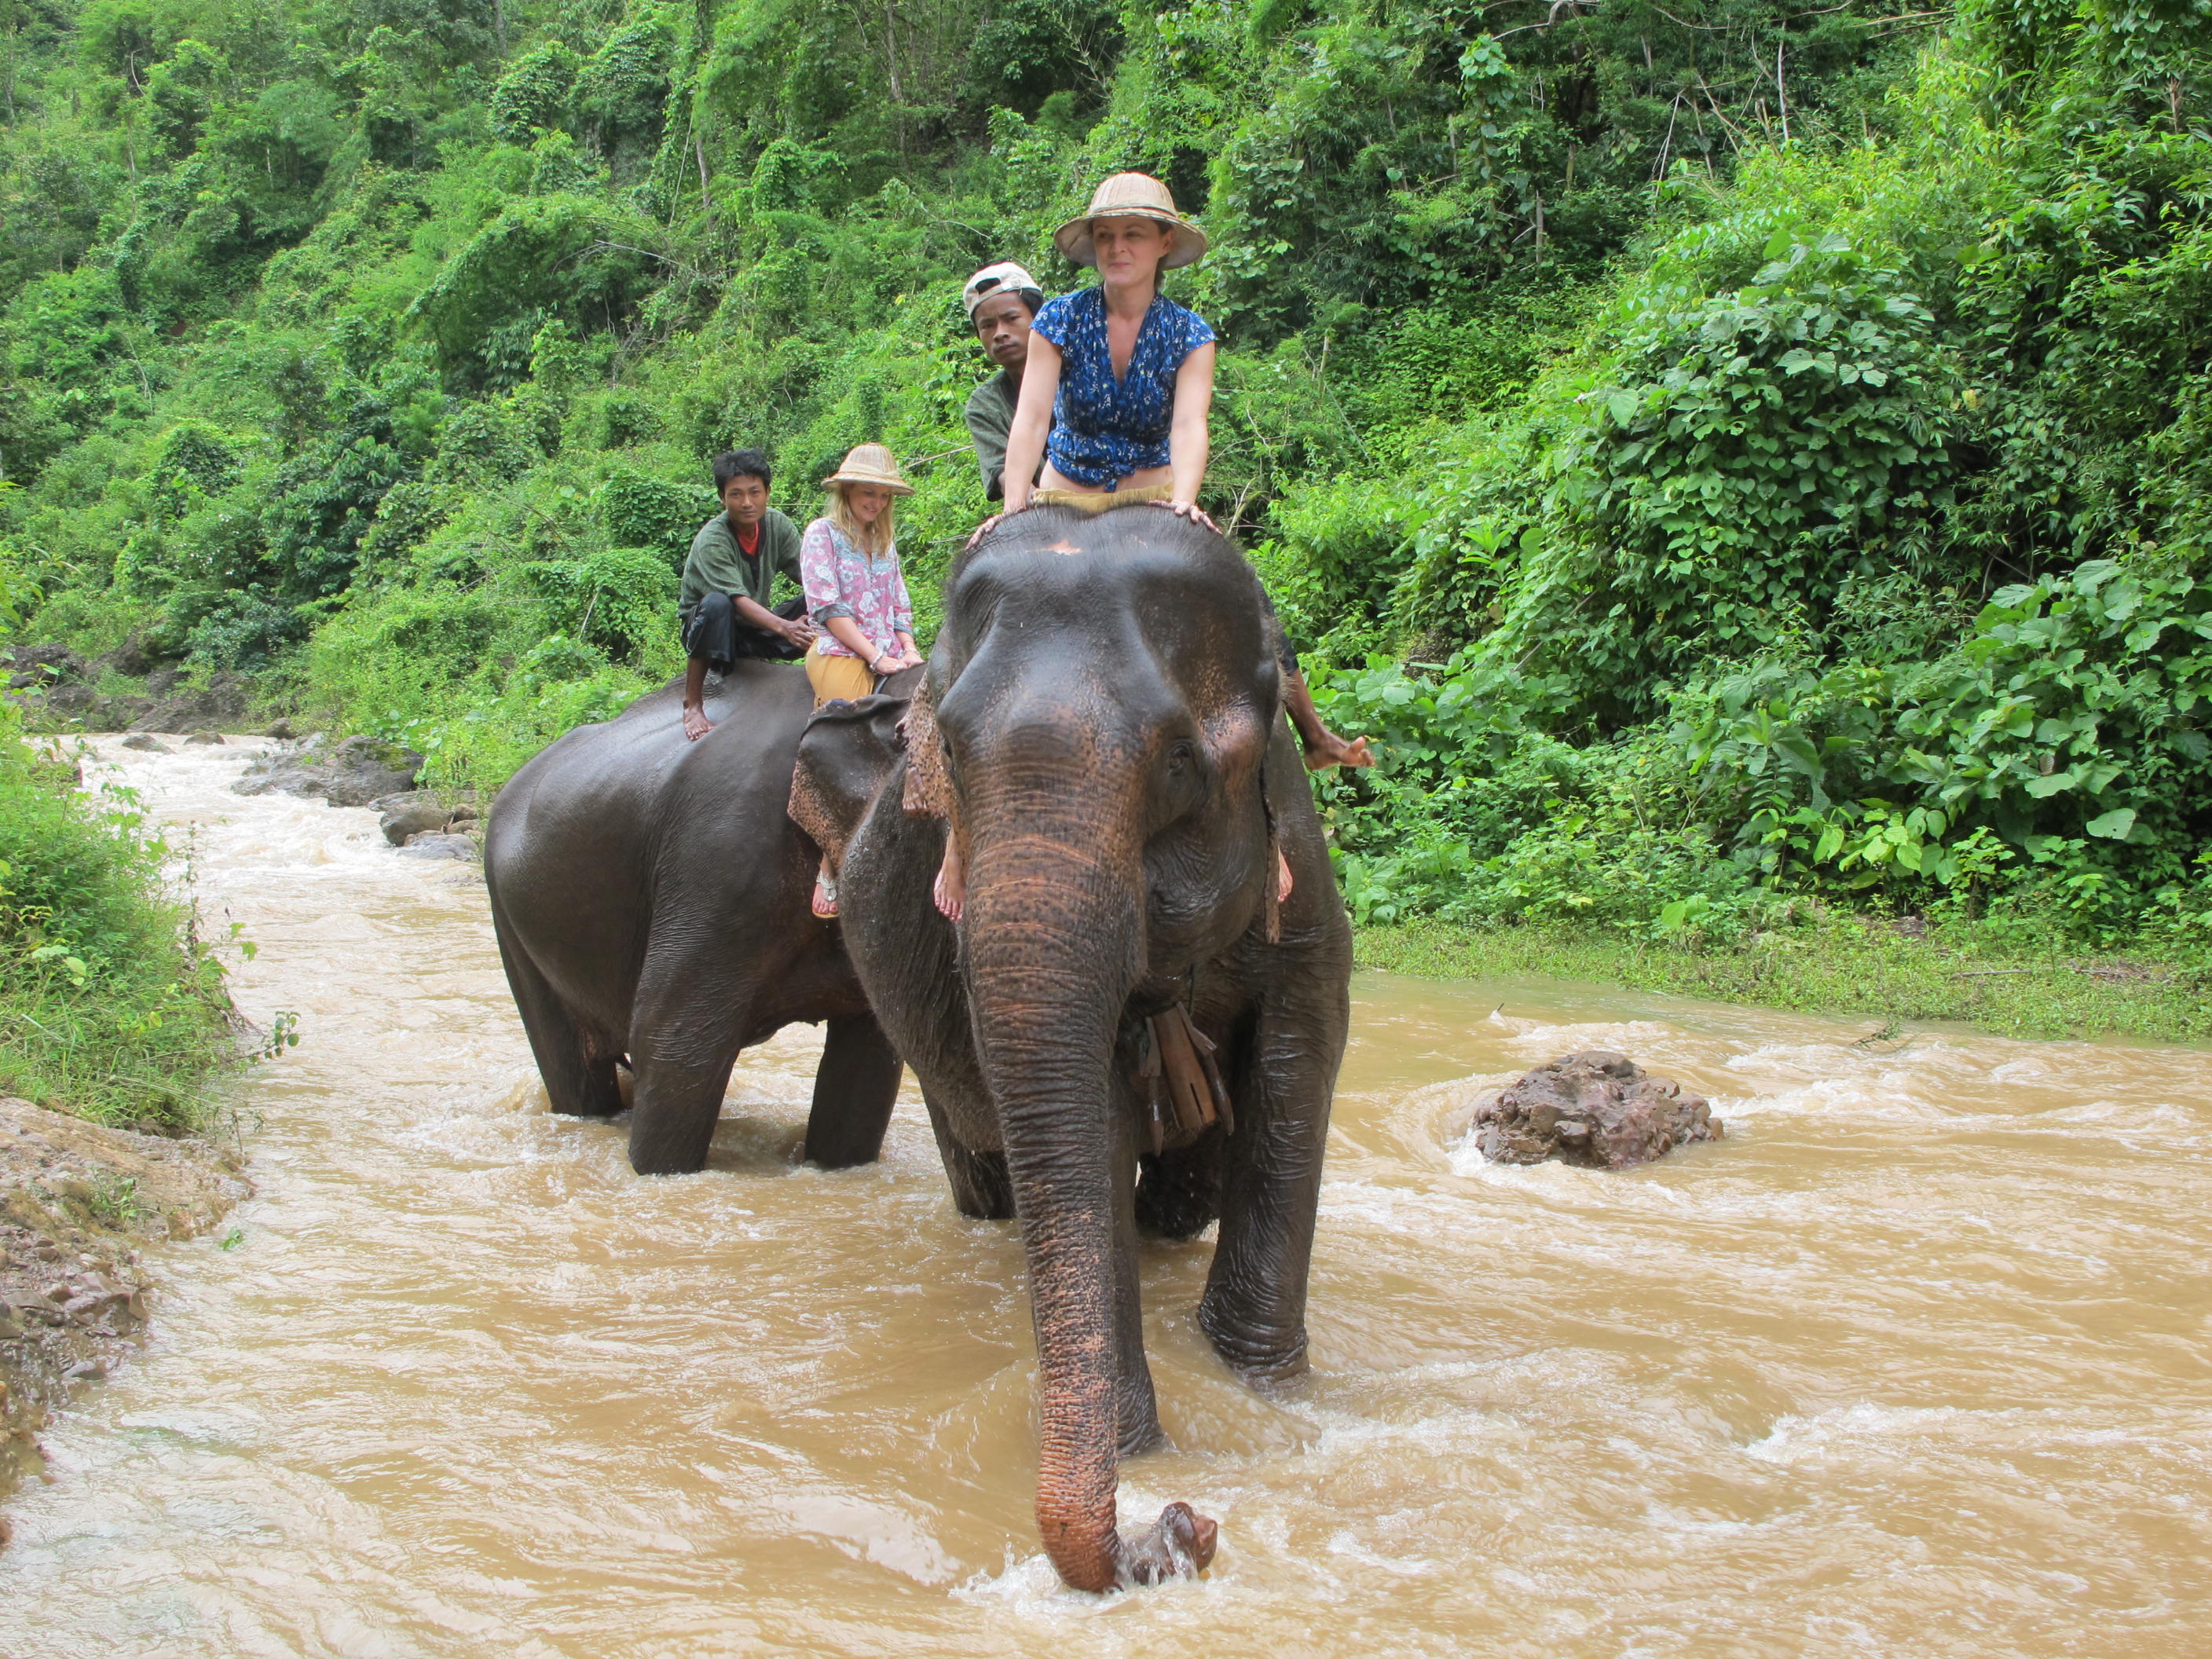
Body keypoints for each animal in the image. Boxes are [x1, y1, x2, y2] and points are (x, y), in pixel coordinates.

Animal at [791, 506, 1353, 1591]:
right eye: (945, 753)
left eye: (1178, 762)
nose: (1187, 1526)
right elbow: (1085, 1119)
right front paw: (1147, 1453)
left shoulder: (1302, 882)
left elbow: (1293, 1072)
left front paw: (1266, 1394)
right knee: (985, 1158)